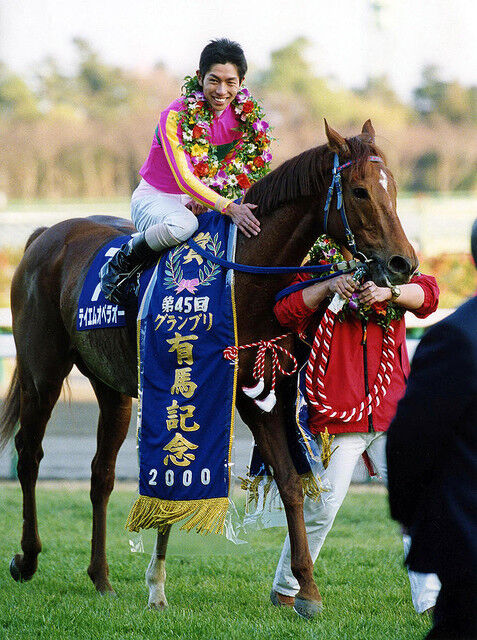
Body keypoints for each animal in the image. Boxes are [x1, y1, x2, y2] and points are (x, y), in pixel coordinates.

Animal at [0, 119, 416, 616]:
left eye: (393, 188)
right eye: (358, 190)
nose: (403, 262)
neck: (244, 279)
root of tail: (45, 234)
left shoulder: (259, 389)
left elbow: (287, 482)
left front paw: (304, 589)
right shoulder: (230, 393)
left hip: (112, 387)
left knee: (101, 474)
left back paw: (101, 577)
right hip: (41, 373)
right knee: (29, 454)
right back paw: (26, 558)